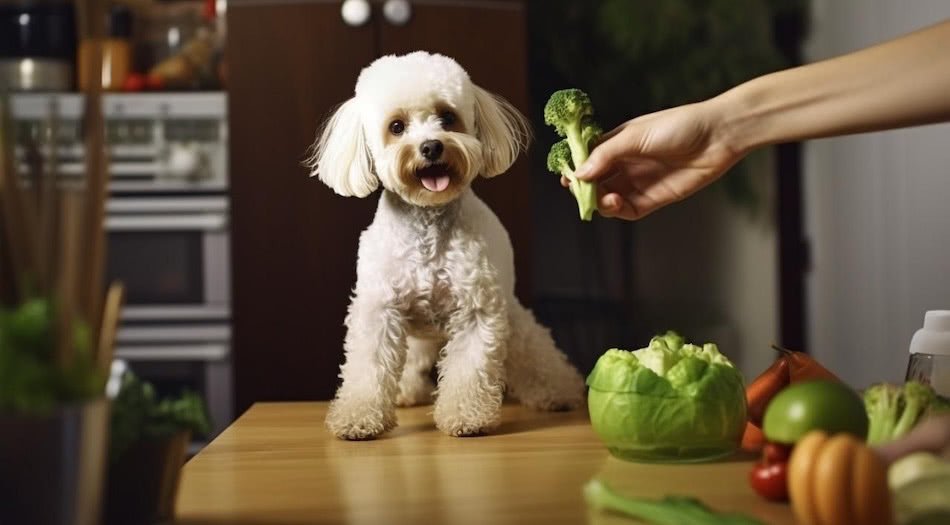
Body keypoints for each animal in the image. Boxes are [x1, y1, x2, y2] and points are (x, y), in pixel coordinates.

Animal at [308, 52, 584, 438]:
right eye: (396, 127)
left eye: (447, 117)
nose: (431, 146)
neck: (426, 227)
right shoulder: (380, 311)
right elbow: (368, 368)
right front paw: (358, 417)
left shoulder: (476, 310)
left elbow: (469, 369)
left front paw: (467, 417)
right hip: (419, 333)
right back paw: (406, 392)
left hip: (511, 318)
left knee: (536, 354)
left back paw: (559, 392)